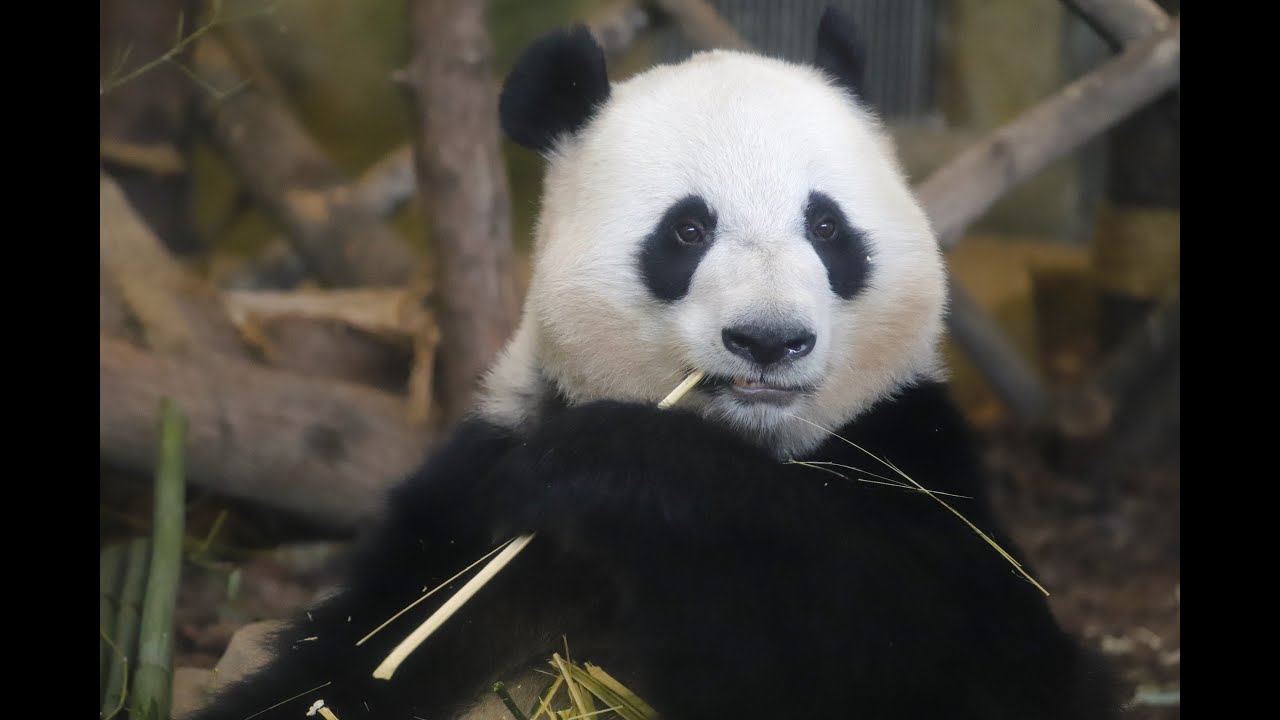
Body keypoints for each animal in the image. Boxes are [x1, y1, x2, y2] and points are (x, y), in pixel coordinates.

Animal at [190, 7, 1122, 720]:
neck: (756, 441)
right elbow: (355, 657)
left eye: (827, 226)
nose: (769, 340)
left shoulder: (911, 453)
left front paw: (622, 465)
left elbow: (961, 652)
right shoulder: (476, 507)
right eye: (687, 230)